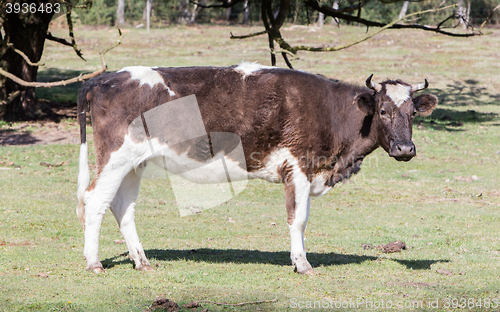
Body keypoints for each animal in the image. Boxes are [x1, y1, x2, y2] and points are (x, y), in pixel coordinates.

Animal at [75, 62, 438, 274]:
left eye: (413, 113)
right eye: (382, 110)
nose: (405, 149)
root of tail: (104, 79)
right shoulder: (298, 167)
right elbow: (298, 219)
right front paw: (302, 264)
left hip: (133, 164)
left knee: (122, 207)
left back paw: (142, 261)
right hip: (116, 157)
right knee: (95, 201)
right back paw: (94, 263)